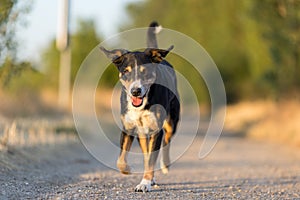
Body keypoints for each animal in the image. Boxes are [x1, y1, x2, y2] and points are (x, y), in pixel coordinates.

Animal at [101, 21, 180, 192]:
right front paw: (128, 170)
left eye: (145, 72)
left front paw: (144, 183)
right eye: (126, 71)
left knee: (166, 141)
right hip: (142, 133)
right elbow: (121, 159)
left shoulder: (157, 129)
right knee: (146, 154)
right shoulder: (128, 127)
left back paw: (164, 166)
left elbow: (152, 159)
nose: (136, 91)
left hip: (171, 121)